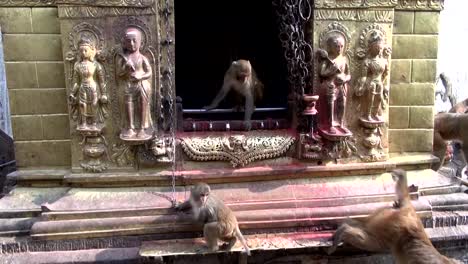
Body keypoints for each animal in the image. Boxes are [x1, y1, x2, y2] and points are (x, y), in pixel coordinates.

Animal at [328, 169, 458, 264]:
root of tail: (408, 210)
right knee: (374, 243)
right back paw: (343, 232)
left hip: (385, 215)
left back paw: (343, 226)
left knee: (363, 225)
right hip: (394, 227)